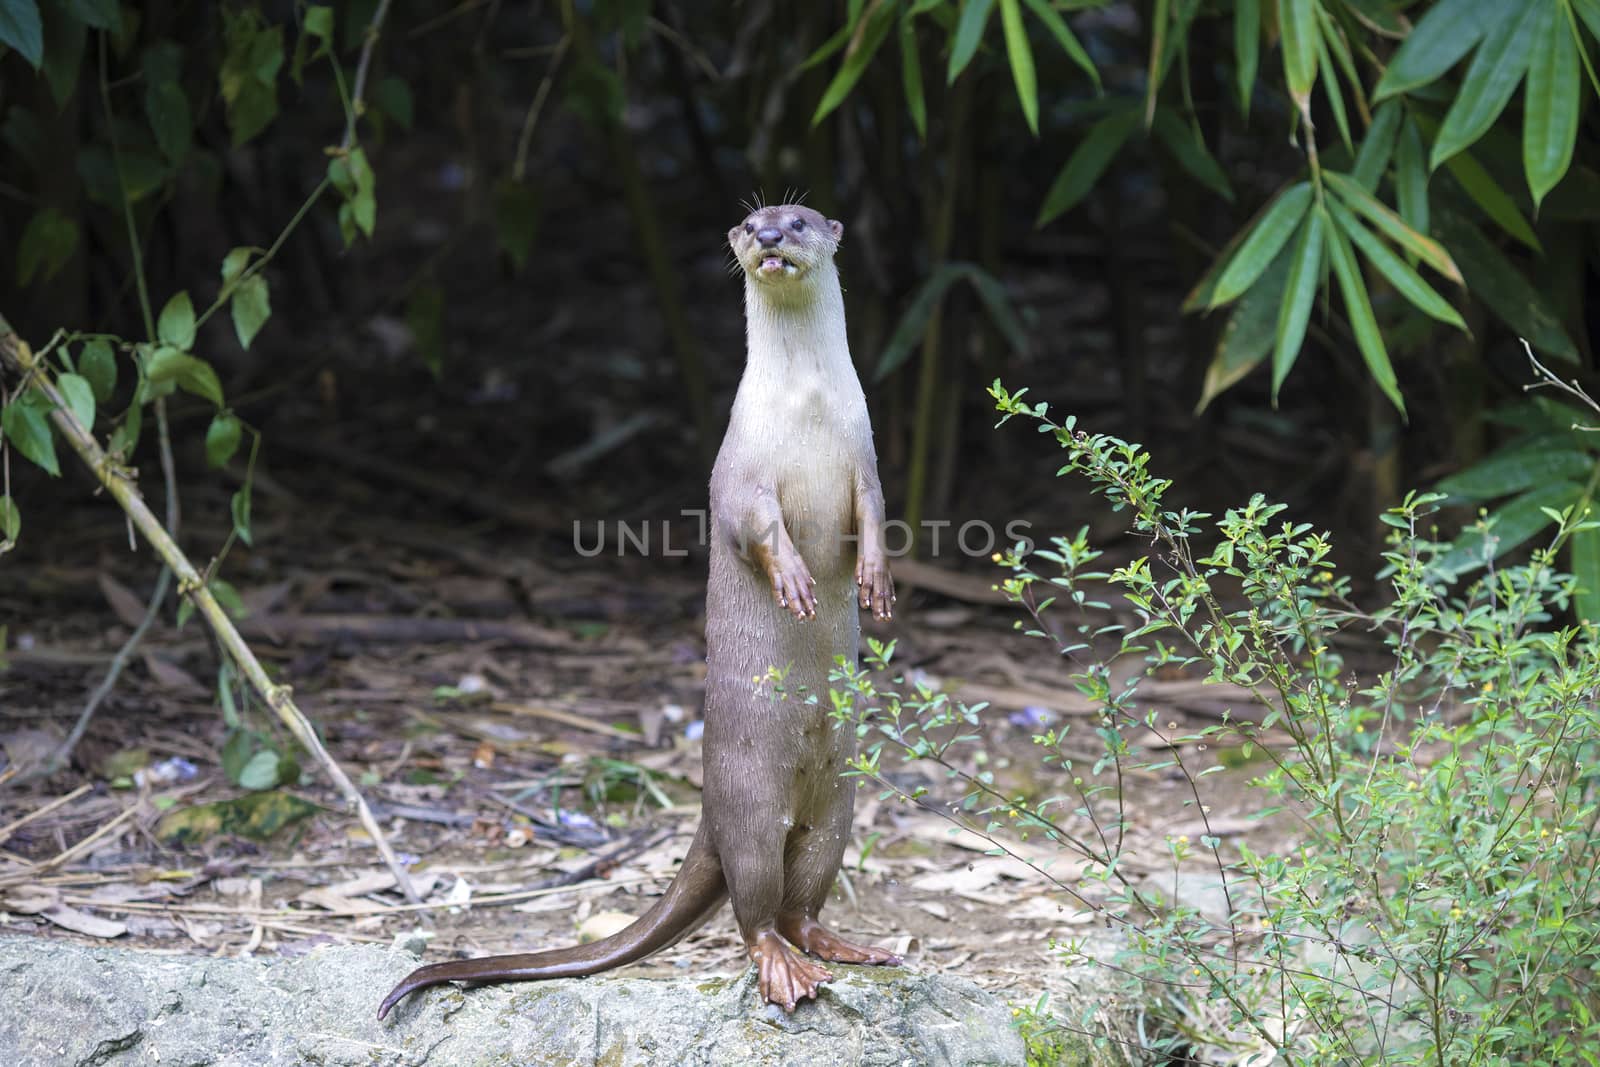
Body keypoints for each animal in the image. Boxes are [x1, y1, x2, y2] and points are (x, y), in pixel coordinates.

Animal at [377, 202, 902, 1017]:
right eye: (750, 222)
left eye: (798, 219)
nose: (769, 237)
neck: (807, 411)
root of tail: (709, 814)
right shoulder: (738, 468)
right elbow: (752, 524)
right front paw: (793, 579)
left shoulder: (866, 456)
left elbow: (877, 515)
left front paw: (875, 578)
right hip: (750, 801)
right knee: (756, 905)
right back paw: (785, 971)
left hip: (839, 805)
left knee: (804, 895)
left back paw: (846, 946)